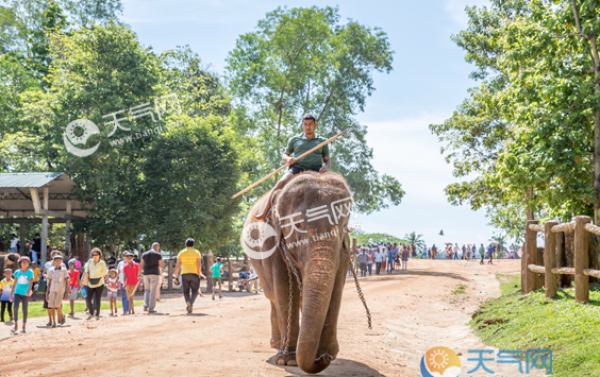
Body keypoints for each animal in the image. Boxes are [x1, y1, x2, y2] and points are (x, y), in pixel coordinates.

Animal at [243, 171, 354, 374]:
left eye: (343, 226)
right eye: (298, 225)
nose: (324, 359)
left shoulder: (344, 247)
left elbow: (336, 287)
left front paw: (329, 353)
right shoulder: (272, 243)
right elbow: (284, 289)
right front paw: (287, 361)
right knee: (273, 296)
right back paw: (277, 344)